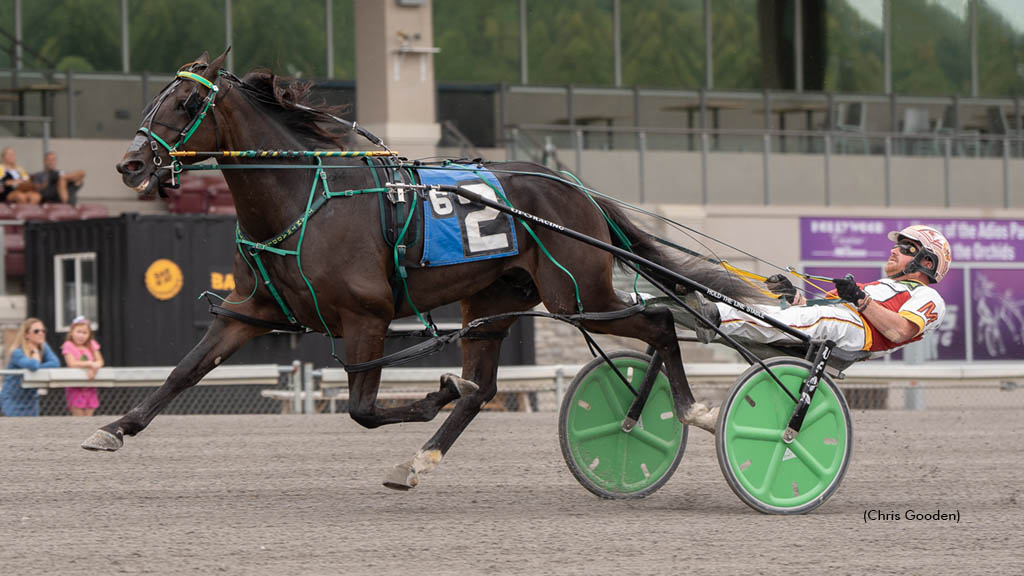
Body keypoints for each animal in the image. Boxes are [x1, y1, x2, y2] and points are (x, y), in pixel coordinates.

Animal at [81, 51, 770, 485]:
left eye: (184, 101)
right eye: (155, 96)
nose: (130, 164)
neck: (302, 198)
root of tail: (574, 187)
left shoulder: (366, 317)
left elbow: (362, 408)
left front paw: (434, 390)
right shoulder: (251, 311)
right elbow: (183, 371)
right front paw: (114, 428)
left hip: (581, 295)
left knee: (658, 322)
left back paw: (695, 411)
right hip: (496, 300)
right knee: (485, 389)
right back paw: (417, 461)